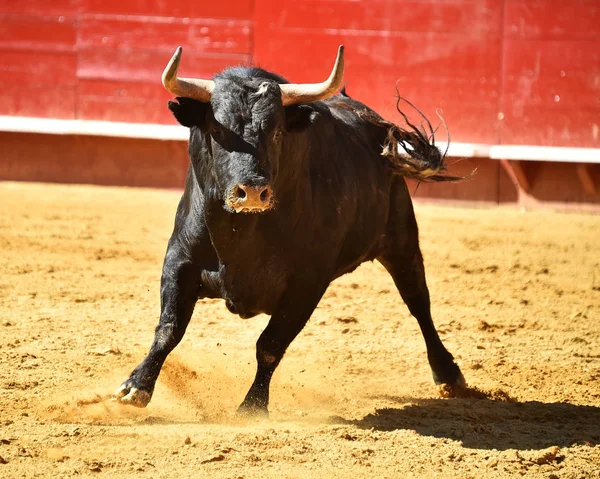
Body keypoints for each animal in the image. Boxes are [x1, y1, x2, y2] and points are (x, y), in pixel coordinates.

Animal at [113, 45, 468, 414]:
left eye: (277, 133)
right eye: (218, 130)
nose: (252, 190)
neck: (242, 234)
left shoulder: (307, 283)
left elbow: (270, 344)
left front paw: (252, 407)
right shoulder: (180, 260)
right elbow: (169, 329)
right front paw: (136, 386)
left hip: (401, 240)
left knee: (418, 302)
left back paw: (448, 374)